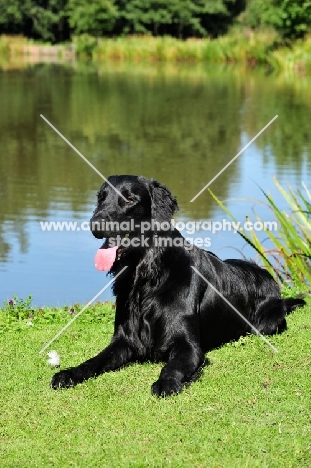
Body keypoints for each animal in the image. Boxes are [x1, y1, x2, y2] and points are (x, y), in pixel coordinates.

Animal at [51, 176, 308, 394]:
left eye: (130, 199)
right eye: (101, 198)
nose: (95, 224)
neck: (147, 278)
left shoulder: (188, 347)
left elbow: (172, 366)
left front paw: (166, 383)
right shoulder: (124, 341)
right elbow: (94, 360)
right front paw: (69, 373)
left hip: (267, 324)